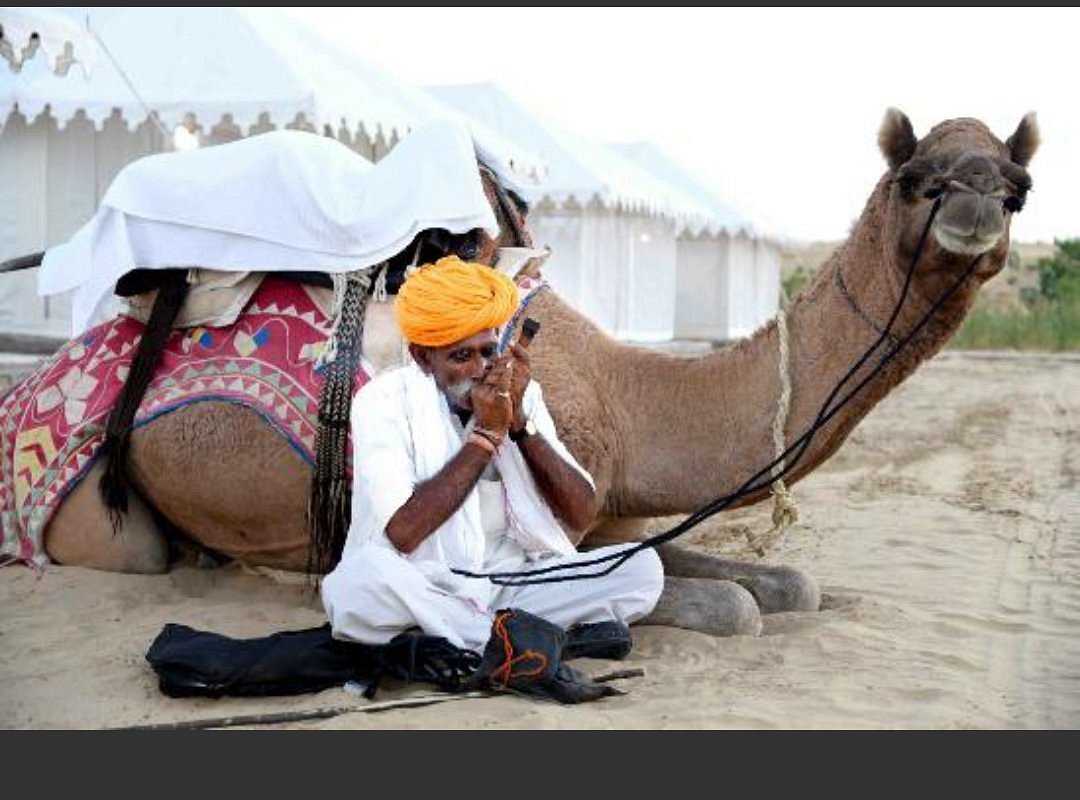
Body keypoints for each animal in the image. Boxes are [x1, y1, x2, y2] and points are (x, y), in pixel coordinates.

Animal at [29, 110, 1036, 634]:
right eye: (918, 179)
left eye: (1018, 186)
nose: (978, 208)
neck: (632, 401)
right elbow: (727, 606)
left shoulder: (613, 509)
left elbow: (784, 586)